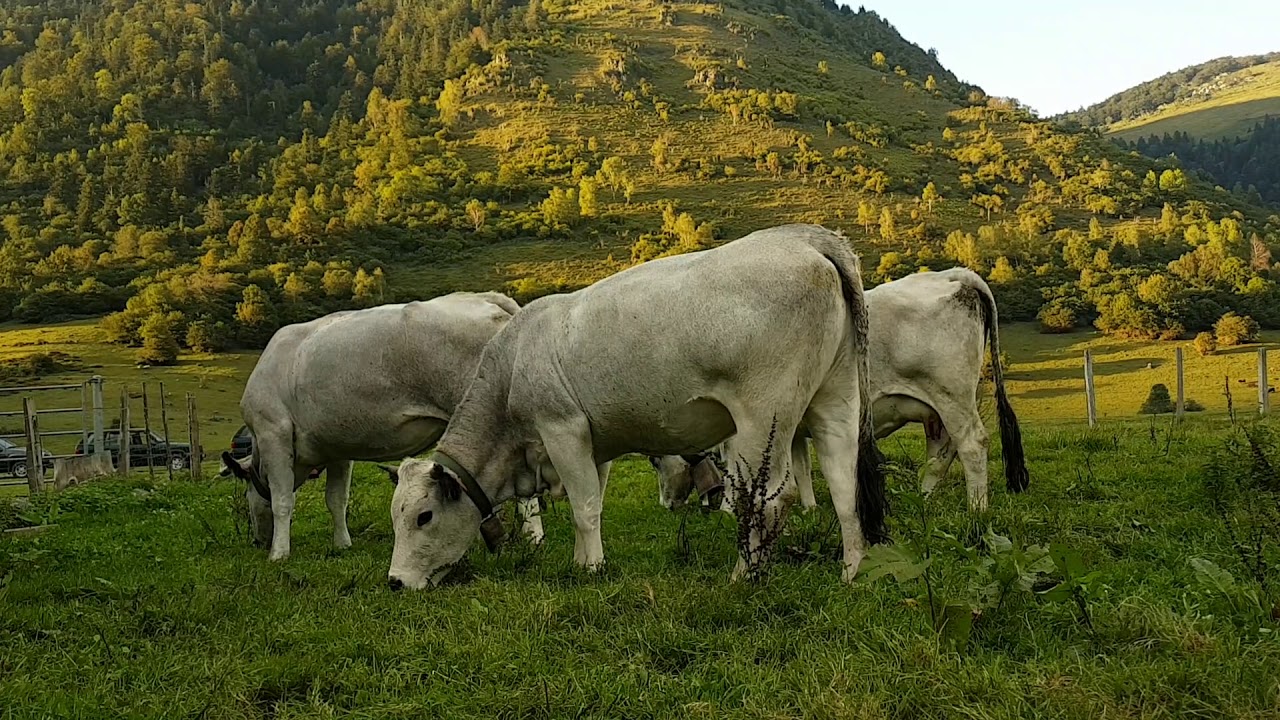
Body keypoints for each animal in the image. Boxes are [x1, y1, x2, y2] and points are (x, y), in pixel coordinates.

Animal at [221, 292, 546, 561]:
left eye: (248, 495)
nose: (258, 541)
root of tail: (483, 296)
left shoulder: (272, 431)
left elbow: (282, 500)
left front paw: (279, 554)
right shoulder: (337, 448)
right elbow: (336, 499)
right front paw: (342, 544)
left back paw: (531, 537)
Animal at [386, 224, 888, 590]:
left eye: (423, 517)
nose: (395, 581)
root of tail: (802, 237)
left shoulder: (562, 429)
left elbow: (584, 507)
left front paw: (591, 571)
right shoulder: (595, 443)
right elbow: (593, 504)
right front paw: (583, 559)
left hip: (763, 418)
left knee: (768, 498)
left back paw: (743, 576)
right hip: (836, 399)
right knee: (844, 486)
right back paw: (852, 571)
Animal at [654, 267, 1028, 514]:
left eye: (657, 461)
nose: (665, 504)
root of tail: (953, 275)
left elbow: (741, 473)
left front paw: (730, 509)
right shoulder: (793, 428)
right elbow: (800, 467)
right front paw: (809, 508)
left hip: (952, 395)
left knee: (972, 444)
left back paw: (977, 509)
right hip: (939, 407)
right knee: (942, 452)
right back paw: (923, 497)